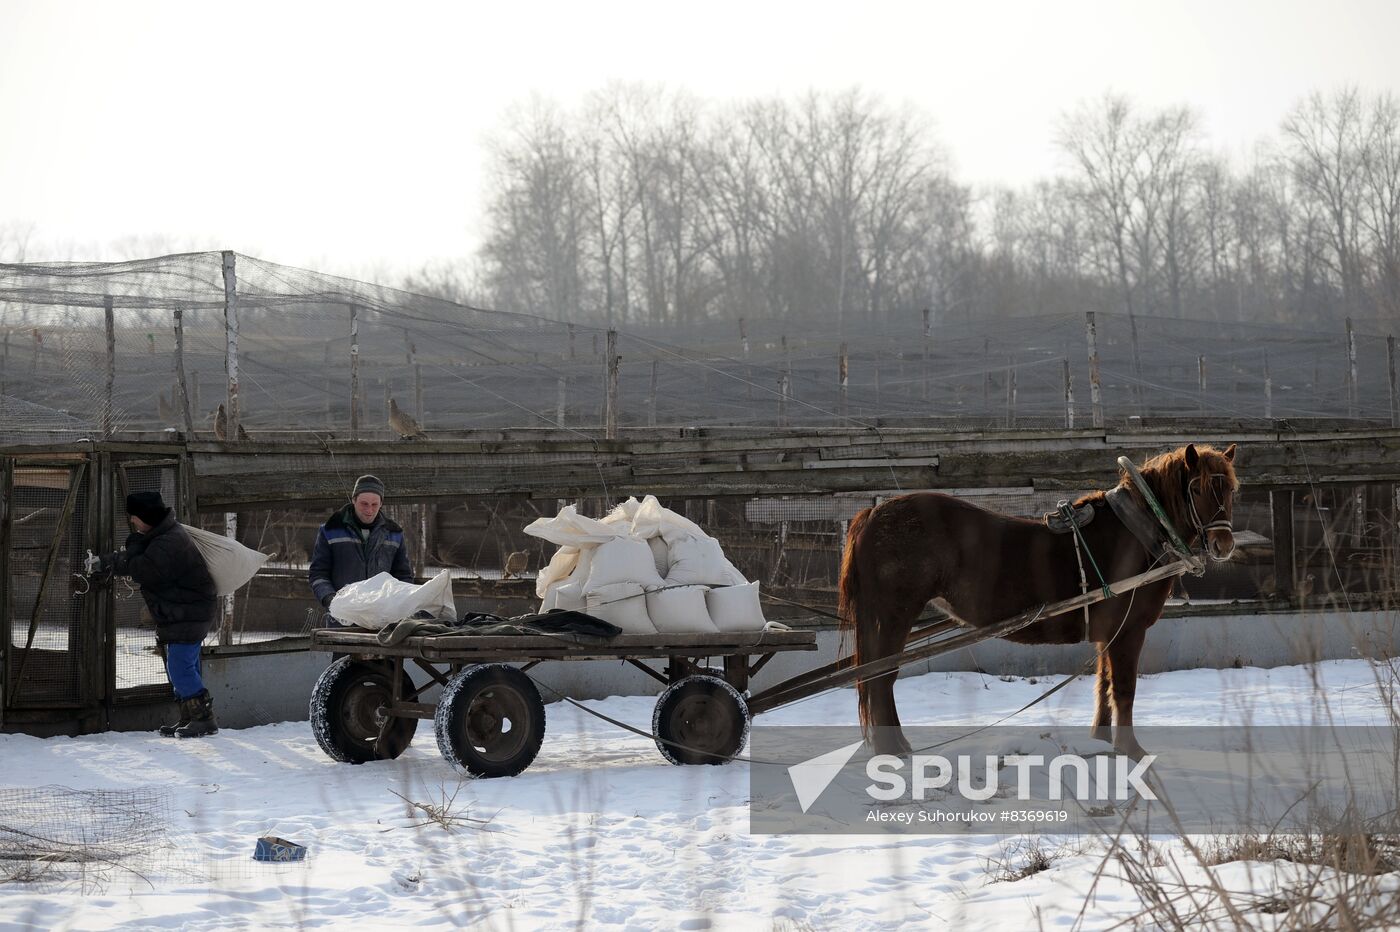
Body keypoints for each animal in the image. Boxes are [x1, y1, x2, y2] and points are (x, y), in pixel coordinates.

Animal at [834, 442, 1232, 755]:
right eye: (1197, 489)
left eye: (1230, 490)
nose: (1223, 544)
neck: (1137, 535)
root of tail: (875, 513)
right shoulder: (1129, 631)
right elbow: (1124, 689)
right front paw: (1130, 750)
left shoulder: (1109, 633)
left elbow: (1103, 683)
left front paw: (1102, 742)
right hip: (895, 613)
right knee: (880, 678)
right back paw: (891, 749)